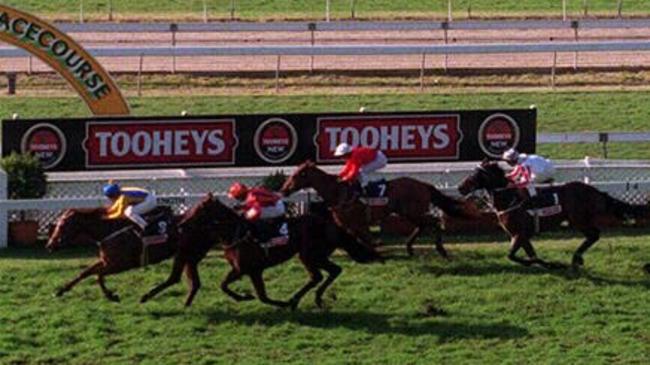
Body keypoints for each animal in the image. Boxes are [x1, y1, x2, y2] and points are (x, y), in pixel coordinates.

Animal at [46, 206, 178, 300]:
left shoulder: (121, 265)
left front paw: (111, 296)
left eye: (62, 225)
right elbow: (85, 273)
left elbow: (98, 274)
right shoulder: (106, 261)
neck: (109, 230)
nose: (50, 245)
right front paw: (60, 291)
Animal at [139, 192, 378, 308]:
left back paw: (298, 299)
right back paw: (312, 298)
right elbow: (226, 285)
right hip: (315, 255)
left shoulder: (251, 269)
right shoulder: (242, 269)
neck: (235, 232)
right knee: (330, 272)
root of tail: (331, 223)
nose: (181, 224)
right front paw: (245, 297)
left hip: (310, 254)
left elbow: (260, 296)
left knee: (320, 275)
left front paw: (276, 302)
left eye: (199, 210)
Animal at [280, 161, 470, 258]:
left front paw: (377, 249)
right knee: (422, 225)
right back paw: (409, 247)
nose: (284, 190)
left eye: (296, 175)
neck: (338, 191)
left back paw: (440, 249)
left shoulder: (357, 222)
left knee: (434, 221)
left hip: (413, 211)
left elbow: (367, 240)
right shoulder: (347, 224)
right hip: (409, 212)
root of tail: (423, 184)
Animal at [456, 161, 648, 268]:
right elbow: (530, 255)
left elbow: (512, 255)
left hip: (578, 219)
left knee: (594, 235)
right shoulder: (522, 236)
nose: (460, 187)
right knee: (593, 235)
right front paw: (550, 264)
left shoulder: (519, 234)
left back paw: (576, 258)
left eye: (476, 174)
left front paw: (550, 264)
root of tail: (595, 191)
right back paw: (576, 259)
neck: (510, 198)